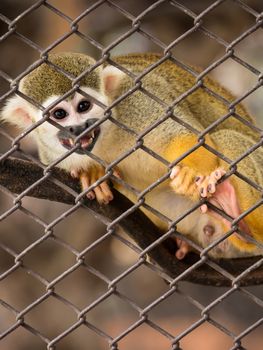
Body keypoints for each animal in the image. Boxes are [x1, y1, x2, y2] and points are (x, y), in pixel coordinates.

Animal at [1, 52, 262, 260]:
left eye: (84, 106)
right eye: (59, 114)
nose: (78, 128)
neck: (105, 138)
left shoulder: (135, 103)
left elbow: (188, 138)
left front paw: (190, 173)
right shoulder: (51, 153)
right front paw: (94, 174)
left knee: (227, 137)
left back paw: (238, 216)